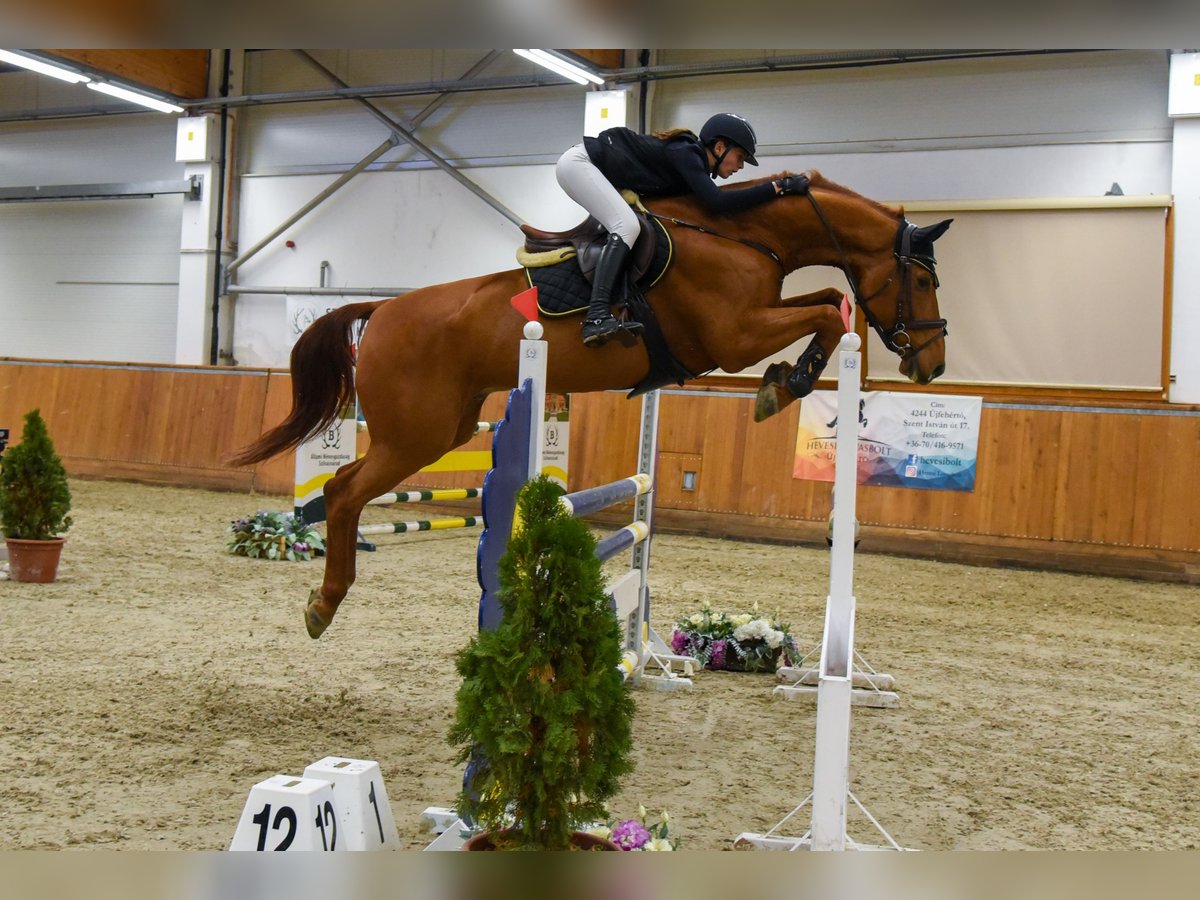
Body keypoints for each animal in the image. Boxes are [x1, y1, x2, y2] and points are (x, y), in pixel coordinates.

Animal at [231, 172, 945, 638]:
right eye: (920, 277)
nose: (931, 364)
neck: (742, 235)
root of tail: (380, 310)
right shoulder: (733, 337)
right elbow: (825, 309)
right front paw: (784, 382)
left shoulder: (752, 322)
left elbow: (826, 299)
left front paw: (788, 378)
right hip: (416, 435)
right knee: (345, 491)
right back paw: (324, 605)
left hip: (444, 427)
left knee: (349, 489)